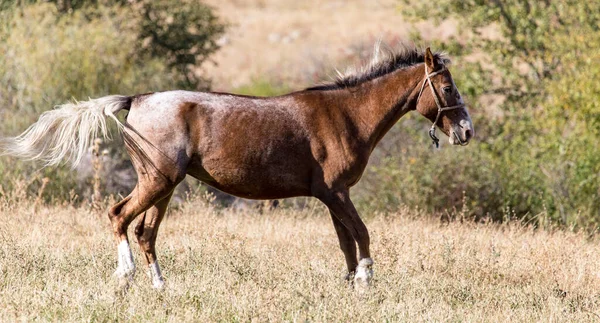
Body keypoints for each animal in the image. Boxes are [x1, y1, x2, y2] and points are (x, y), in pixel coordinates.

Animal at [0, 46, 474, 292]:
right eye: (448, 87)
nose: (467, 131)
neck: (346, 115)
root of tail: (136, 99)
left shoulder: (332, 196)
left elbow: (346, 242)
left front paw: (350, 282)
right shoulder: (337, 193)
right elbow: (362, 235)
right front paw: (366, 282)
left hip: (163, 186)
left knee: (145, 231)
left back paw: (161, 287)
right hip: (157, 181)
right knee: (119, 217)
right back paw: (126, 274)